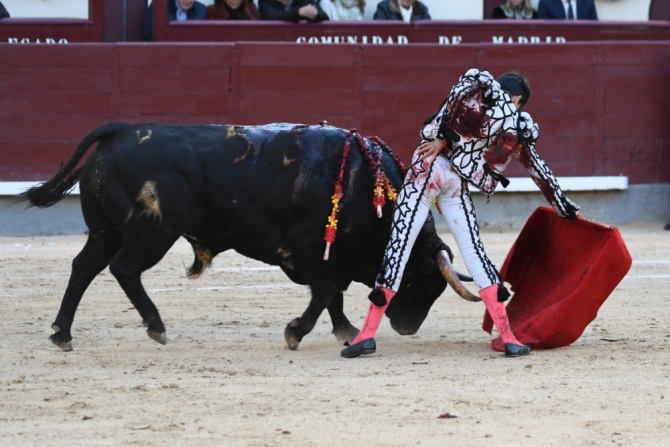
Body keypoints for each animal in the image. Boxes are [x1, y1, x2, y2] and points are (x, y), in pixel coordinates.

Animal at [19, 123, 472, 354]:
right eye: (425, 281)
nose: (408, 328)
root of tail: (121, 131)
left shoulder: (323, 257)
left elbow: (333, 293)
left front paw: (342, 329)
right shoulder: (310, 250)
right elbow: (326, 291)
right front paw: (296, 332)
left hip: (105, 230)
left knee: (84, 267)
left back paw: (62, 333)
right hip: (152, 232)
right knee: (124, 268)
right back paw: (156, 326)